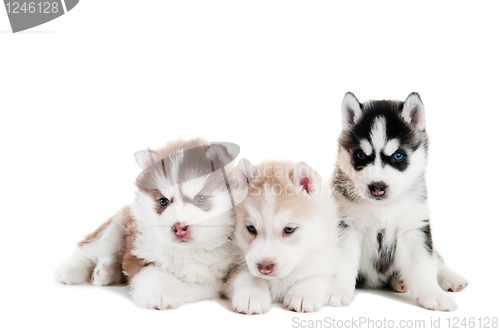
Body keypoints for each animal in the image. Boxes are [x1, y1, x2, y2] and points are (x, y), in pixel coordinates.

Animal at [53, 137, 237, 308]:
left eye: (201, 198)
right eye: (163, 201)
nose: (179, 228)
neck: (185, 251)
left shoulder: (216, 275)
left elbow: (199, 284)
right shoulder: (137, 252)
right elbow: (153, 270)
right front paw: (160, 292)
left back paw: (106, 271)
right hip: (116, 227)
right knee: (90, 247)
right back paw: (70, 270)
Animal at [225, 160, 350, 314]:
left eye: (289, 229)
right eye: (251, 228)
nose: (264, 267)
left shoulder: (325, 261)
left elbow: (314, 276)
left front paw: (302, 294)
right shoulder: (235, 267)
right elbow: (248, 276)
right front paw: (251, 294)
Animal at [332, 91, 468, 312]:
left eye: (398, 156)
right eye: (360, 155)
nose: (377, 186)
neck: (383, 208)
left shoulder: (414, 226)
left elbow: (423, 263)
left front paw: (433, 294)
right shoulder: (346, 226)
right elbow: (341, 262)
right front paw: (336, 291)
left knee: (436, 259)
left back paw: (448, 277)